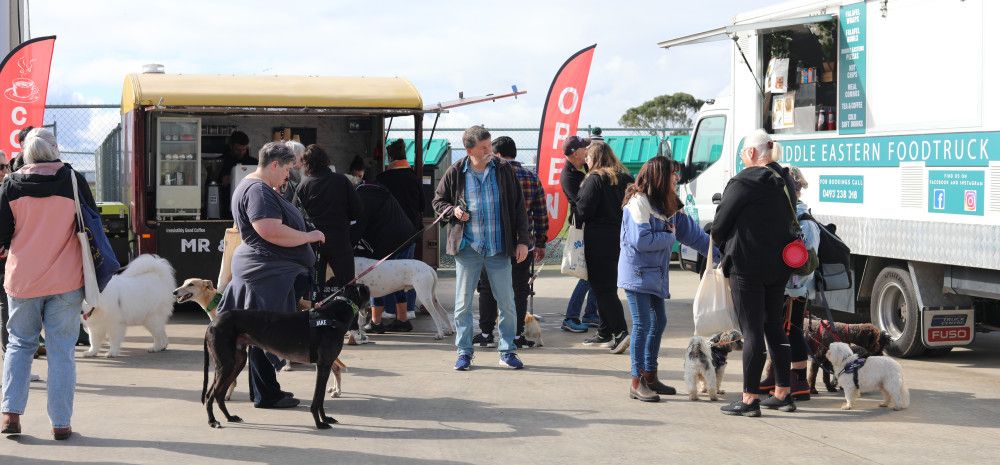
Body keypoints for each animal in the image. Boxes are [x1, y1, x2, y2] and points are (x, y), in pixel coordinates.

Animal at [200, 284, 372, 430]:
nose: (369, 316)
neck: (333, 316)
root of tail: (212, 323)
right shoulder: (323, 365)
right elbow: (317, 398)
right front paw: (319, 423)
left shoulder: (324, 365)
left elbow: (321, 396)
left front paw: (325, 419)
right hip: (227, 364)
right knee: (211, 394)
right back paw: (212, 421)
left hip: (237, 361)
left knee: (218, 393)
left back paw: (229, 417)